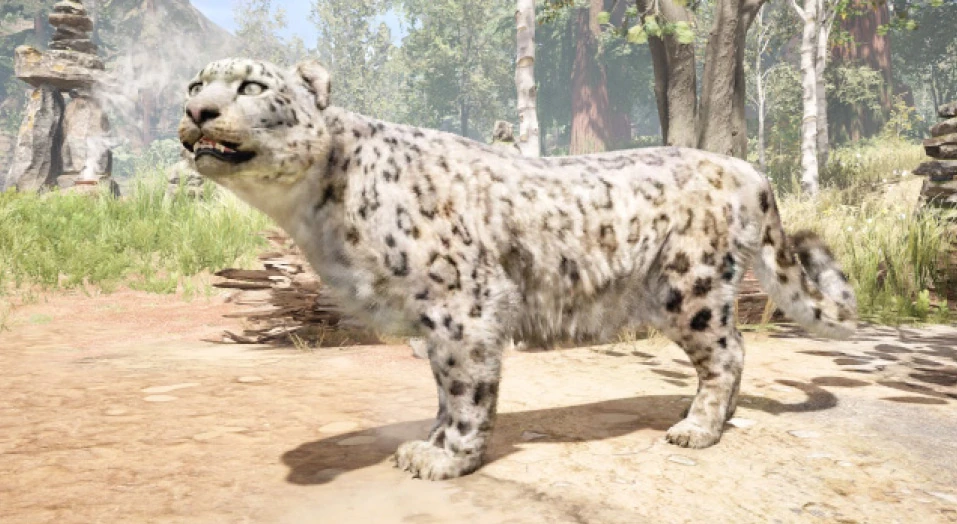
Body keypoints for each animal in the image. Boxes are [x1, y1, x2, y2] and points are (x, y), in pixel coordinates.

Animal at [178, 58, 857, 481]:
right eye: (194, 84)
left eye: (250, 87)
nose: (198, 113)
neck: (315, 214)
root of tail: (743, 168)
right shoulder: (436, 318)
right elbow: (442, 388)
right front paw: (431, 442)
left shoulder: (463, 304)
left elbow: (465, 386)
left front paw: (449, 457)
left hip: (690, 285)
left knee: (728, 352)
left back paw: (698, 427)